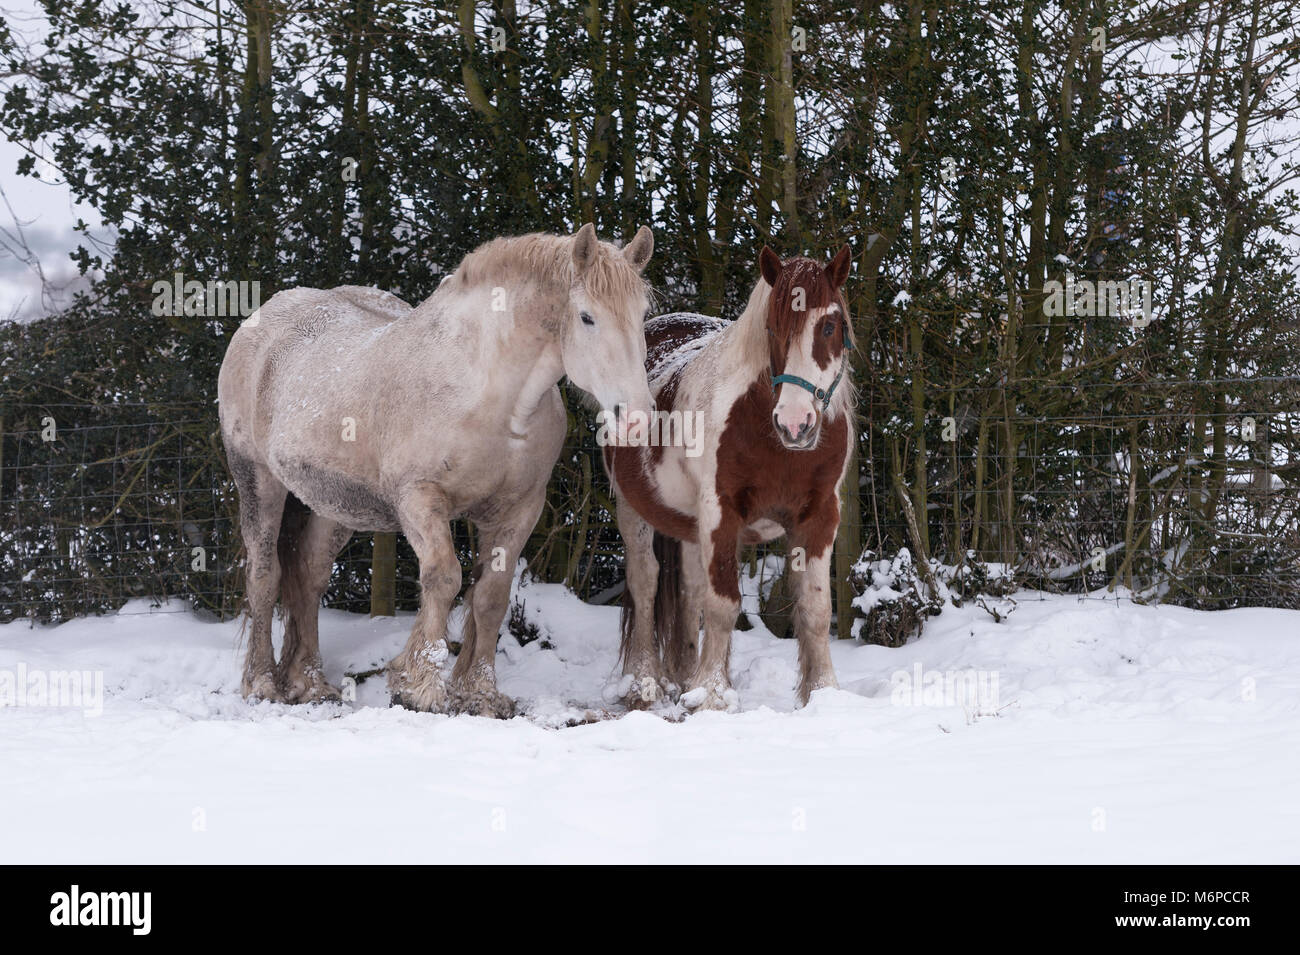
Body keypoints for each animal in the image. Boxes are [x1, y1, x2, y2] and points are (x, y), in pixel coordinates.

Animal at [219, 226, 660, 717]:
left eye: (641, 314)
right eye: (587, 317)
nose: (636, 418)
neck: (489, 393)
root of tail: (264, 318)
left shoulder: (519, 509)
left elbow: (491, 595)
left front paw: (480, 692)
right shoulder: (420, 499)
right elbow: (444, 578)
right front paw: (420, 685)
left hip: (335, 505)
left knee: (309, 577)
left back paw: (309, 683)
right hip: (258, 480)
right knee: (265, 576)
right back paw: (262, 682)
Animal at [605, 244, 857, 712]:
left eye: (830, 326)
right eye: (772, 327)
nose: (795, 423)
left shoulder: (820, 516)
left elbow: (815, 609)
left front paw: (824, 693)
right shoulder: (721, 513)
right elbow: (723, 604)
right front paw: (713, 696)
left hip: (687, 526)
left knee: (687, 591)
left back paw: (684, 677)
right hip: (633, 508)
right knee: (645, 584)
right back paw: (645, 684)